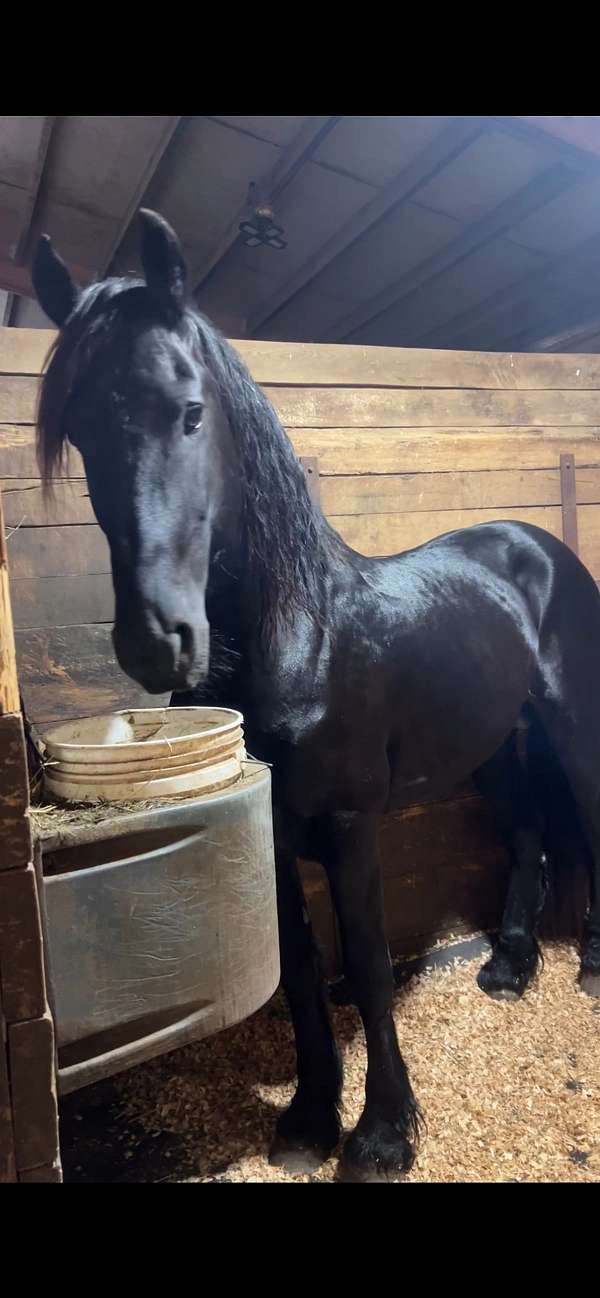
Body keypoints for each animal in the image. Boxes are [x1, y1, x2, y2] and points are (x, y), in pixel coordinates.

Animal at [32, 210, 600, 1182]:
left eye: (191, 412)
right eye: (77, 428)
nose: (158, 637)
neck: (298, 640)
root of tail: (533, 544)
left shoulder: (347, 826)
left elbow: (366, 965)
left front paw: (383, 1133)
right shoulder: (273, 838)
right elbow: (298, 975)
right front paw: (307, 1116)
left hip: (569, 726)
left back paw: (590, 962)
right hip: (493, 743)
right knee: (527, 831)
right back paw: (510, 967)